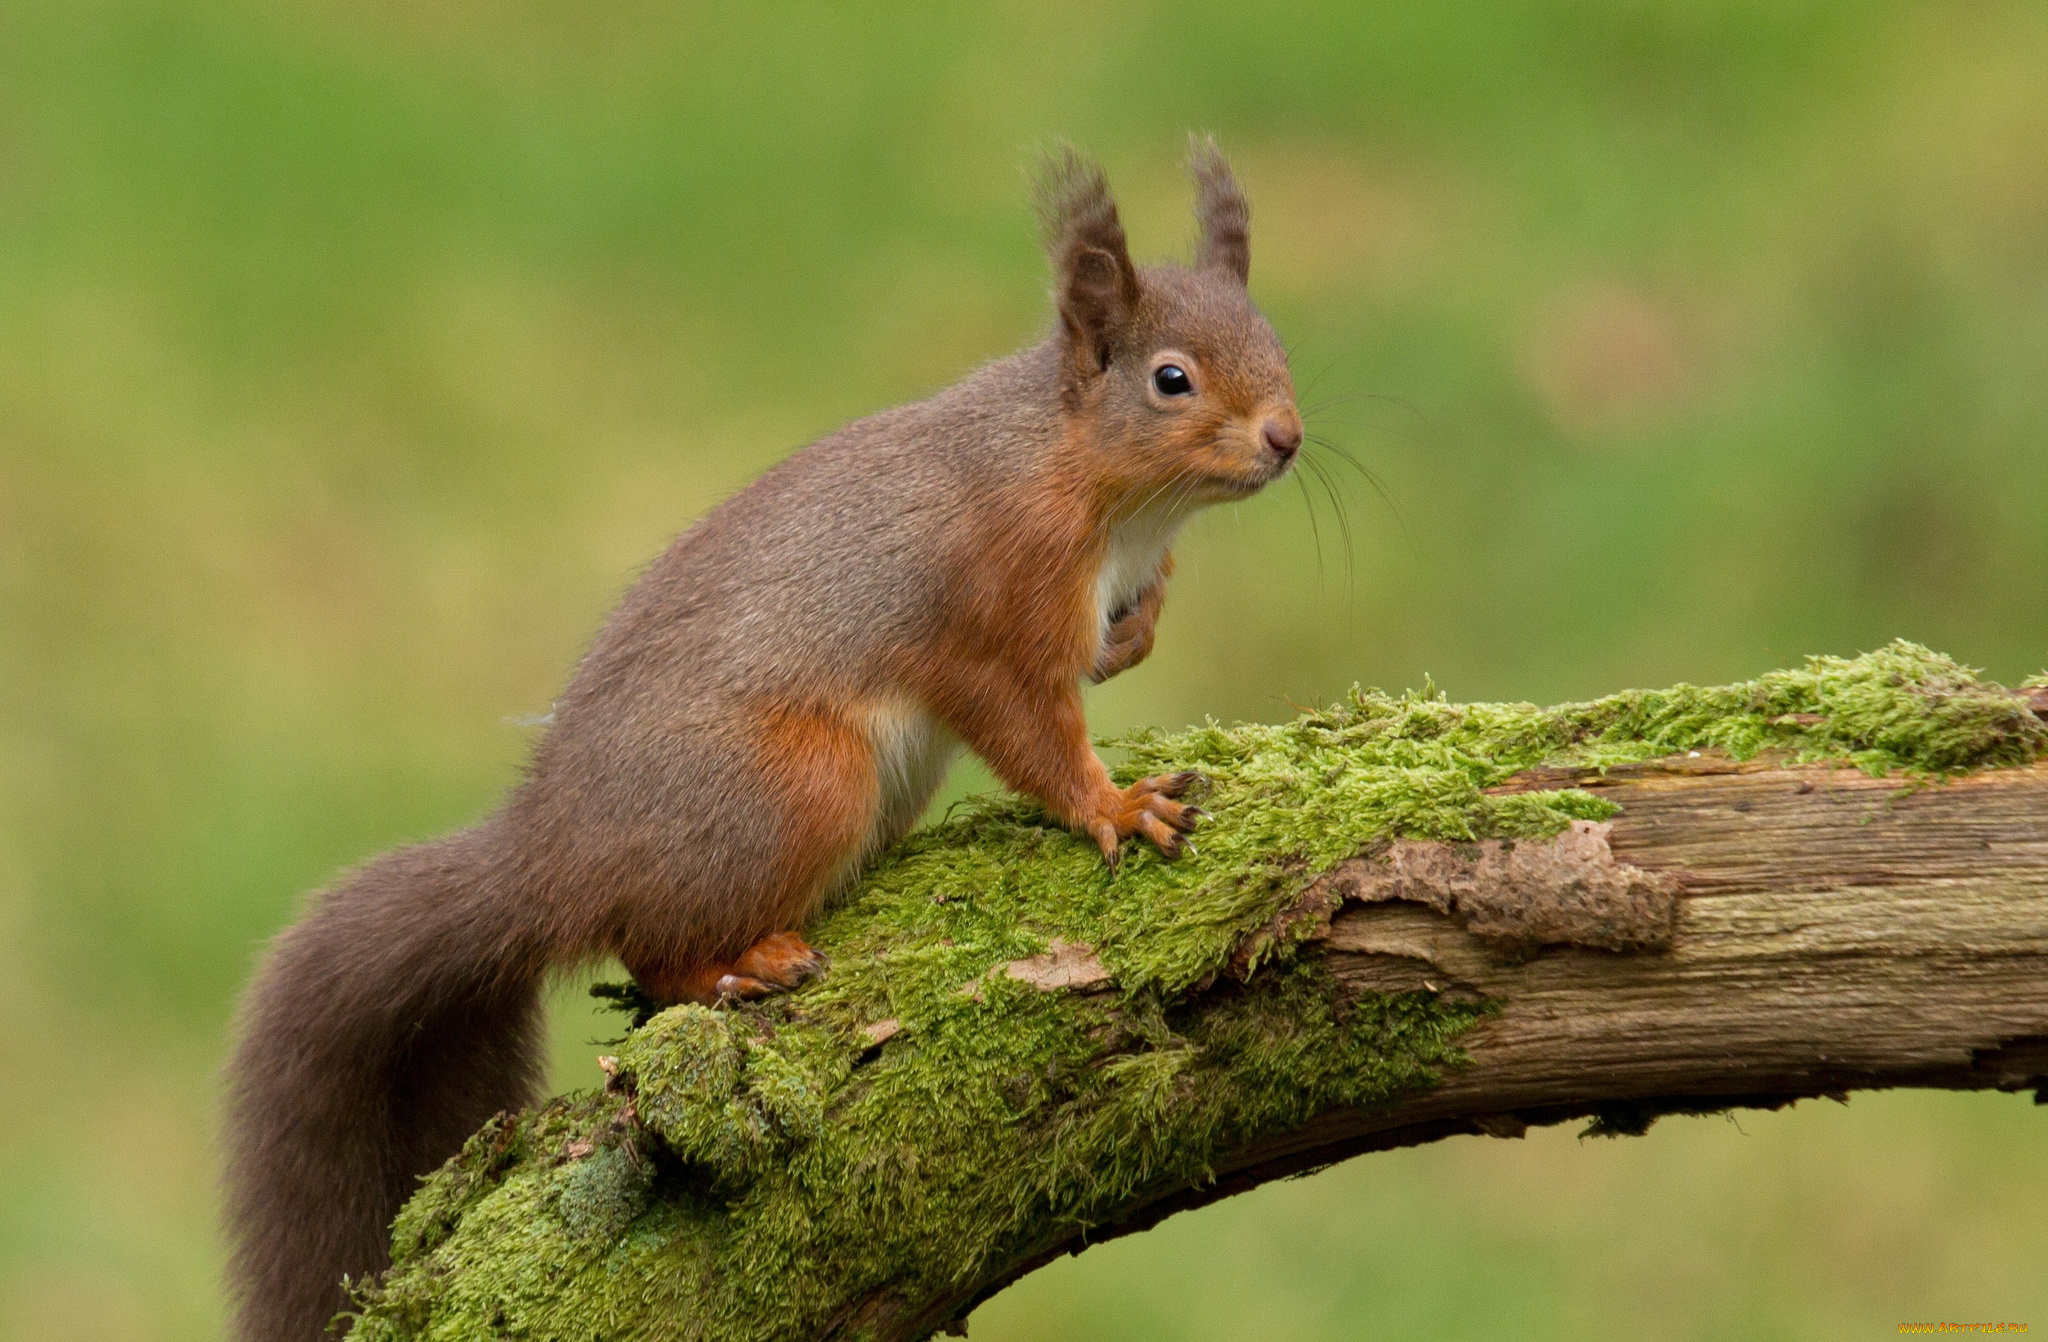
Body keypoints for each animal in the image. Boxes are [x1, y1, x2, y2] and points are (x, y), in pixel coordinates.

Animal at [224, 141, 1294, 1335]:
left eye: (1278, 344)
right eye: (1170, 380)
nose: (1286, 438)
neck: (1081, 474)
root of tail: (551, 859)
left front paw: (1139, 631)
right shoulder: (992, 603)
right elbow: (1028, 727)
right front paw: (1113, 804)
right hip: (796, 784)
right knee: (647, 949)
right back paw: (738, 969)